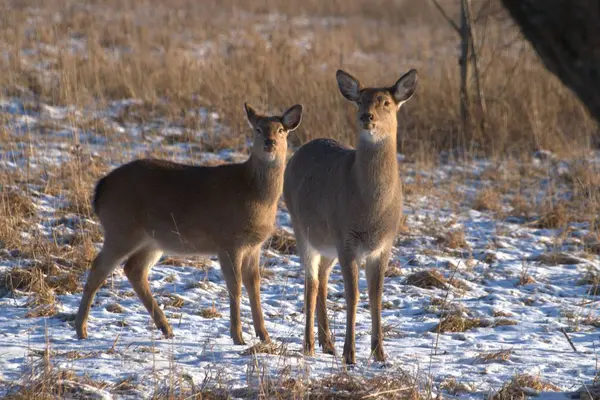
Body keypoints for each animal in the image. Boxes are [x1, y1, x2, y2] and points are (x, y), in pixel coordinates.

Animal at [75, 101, 302, 346]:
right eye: (258, 129)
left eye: (281, 130)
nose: (270, 143)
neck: (254, 195)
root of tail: (100, 189)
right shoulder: (228, 241)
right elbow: (235, 286)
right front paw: (238, 336)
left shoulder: (254, 245)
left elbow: (254, 285)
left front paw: (264, 336)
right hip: (121, 228)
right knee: (99, 268)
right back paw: (81, 330)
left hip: (152, 240)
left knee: (134, 269)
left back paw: (166, 328)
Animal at [282, 69, 418, 366]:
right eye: (360, 101)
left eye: (386, 102)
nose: (367, 116)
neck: (370, 210)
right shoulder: (347, 239)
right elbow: (353, 296)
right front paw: (350, 354)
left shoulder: (384, 244)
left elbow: (376, 296)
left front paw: (380, 353)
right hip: (301, 227)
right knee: (311, 282)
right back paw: (309, 344)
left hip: (328, 242)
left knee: (321, 279)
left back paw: (327, 343)